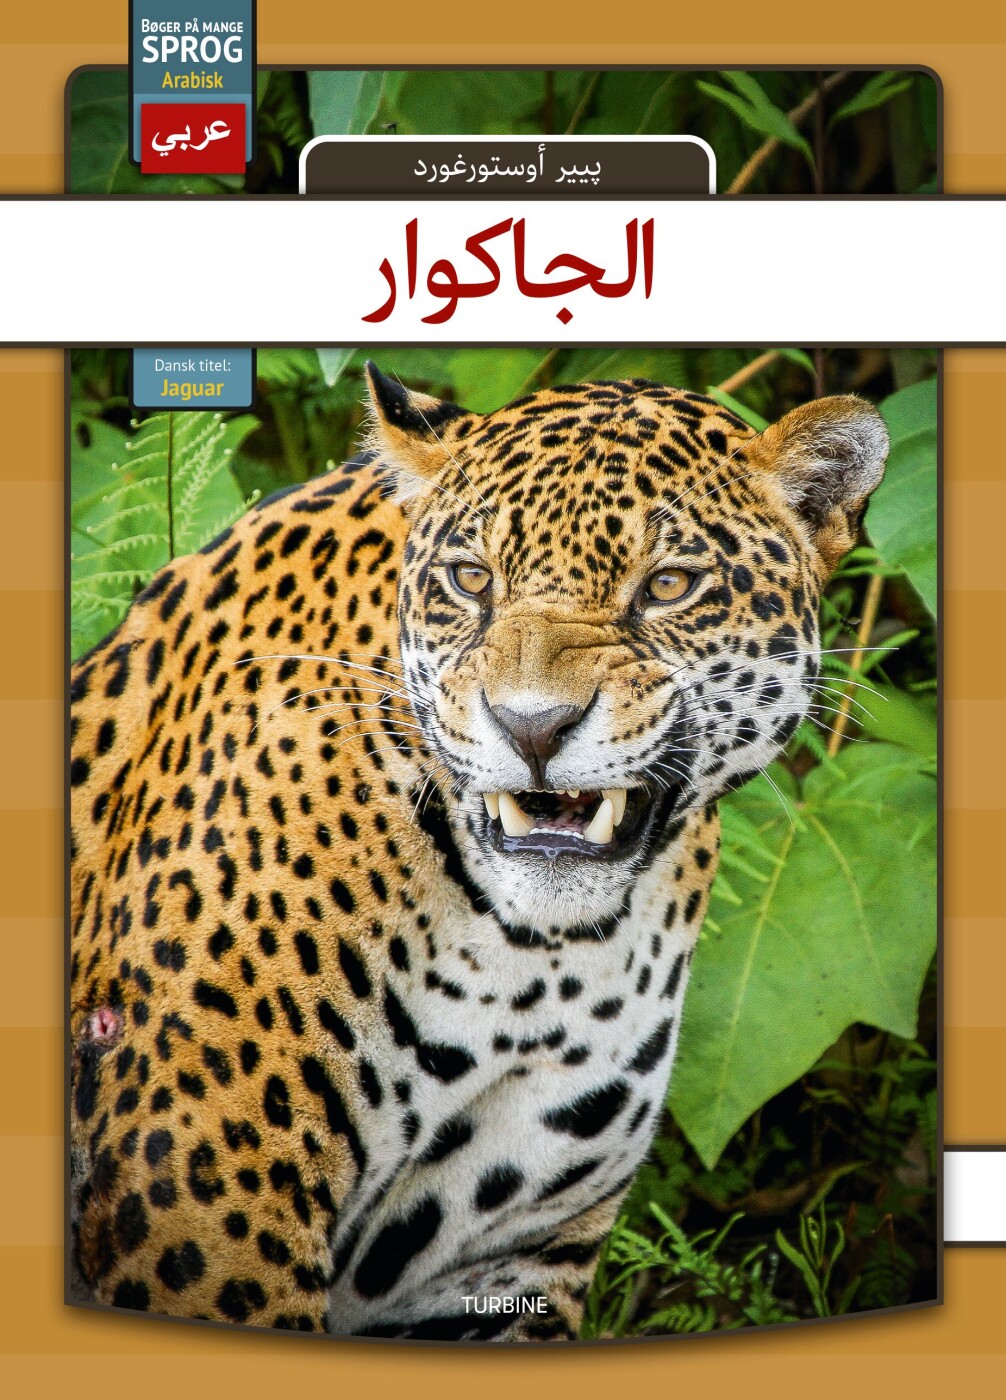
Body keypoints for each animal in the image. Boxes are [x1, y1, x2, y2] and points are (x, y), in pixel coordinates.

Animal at [68, 365, 888, 1341]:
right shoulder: (201, 1201)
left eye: (669, 585)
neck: (530, 964)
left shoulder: (504, 1257)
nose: (532, 726)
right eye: (470, 580)